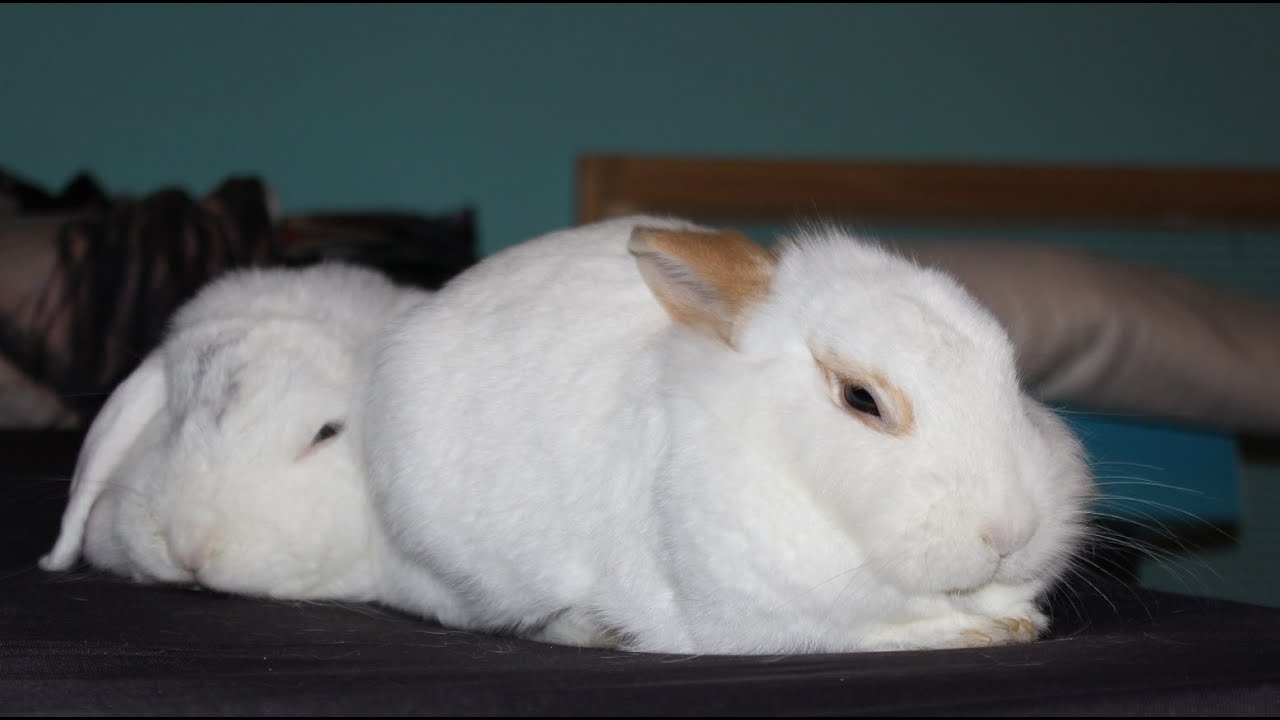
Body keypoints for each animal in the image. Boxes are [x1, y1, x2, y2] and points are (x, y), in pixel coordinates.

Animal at [361, 215, 1095, 655]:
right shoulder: (782, 619)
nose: (1011, 532)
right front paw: (981, 629)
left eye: (1013, 377)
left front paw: (1017, 621)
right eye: (861, 398)